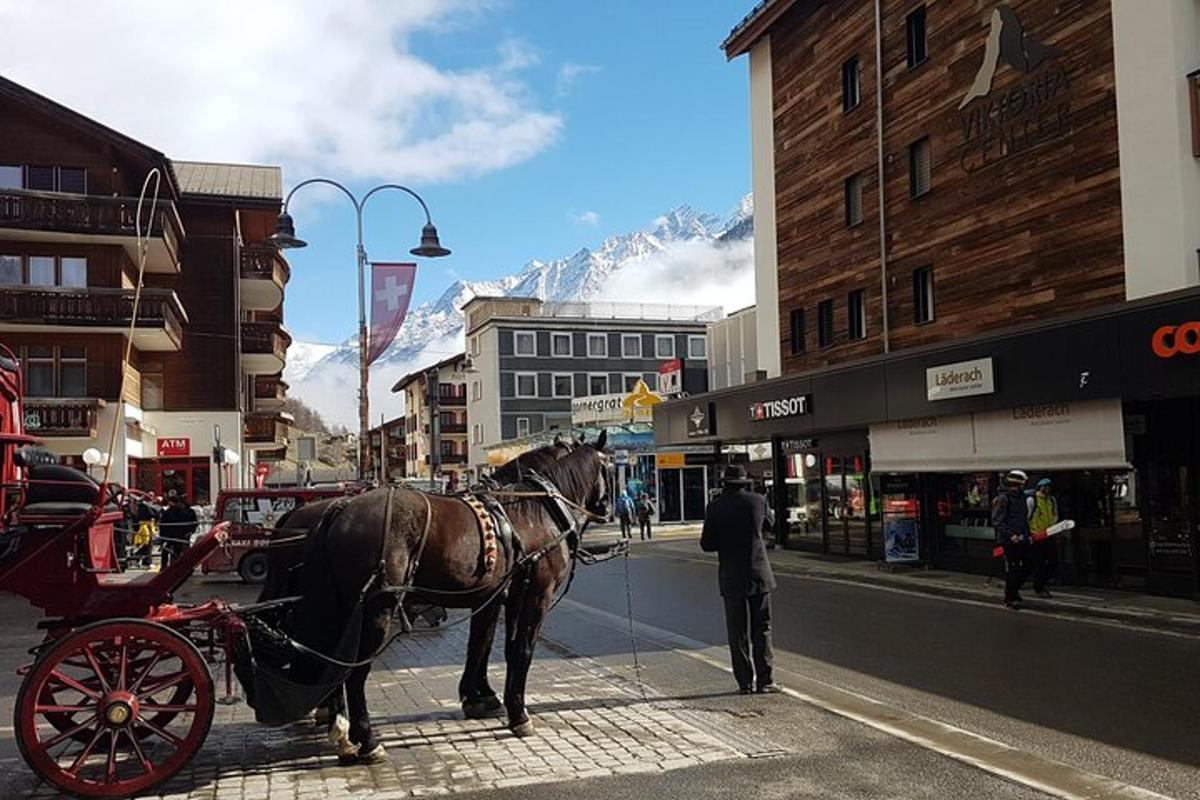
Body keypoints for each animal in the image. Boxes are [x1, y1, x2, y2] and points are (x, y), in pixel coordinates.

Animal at [256, 434, 604, 762]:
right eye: (610, 466)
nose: (606, 510)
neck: (530, 512)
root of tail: (338, 510)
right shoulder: (534, 596)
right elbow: (519, 651)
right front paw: (516, 712)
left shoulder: (496, 597)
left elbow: (483, 644)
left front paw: (480, 696)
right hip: (373, 610)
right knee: (353, 671)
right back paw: (365, 739)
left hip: (340, 606)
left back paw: (340, 730)